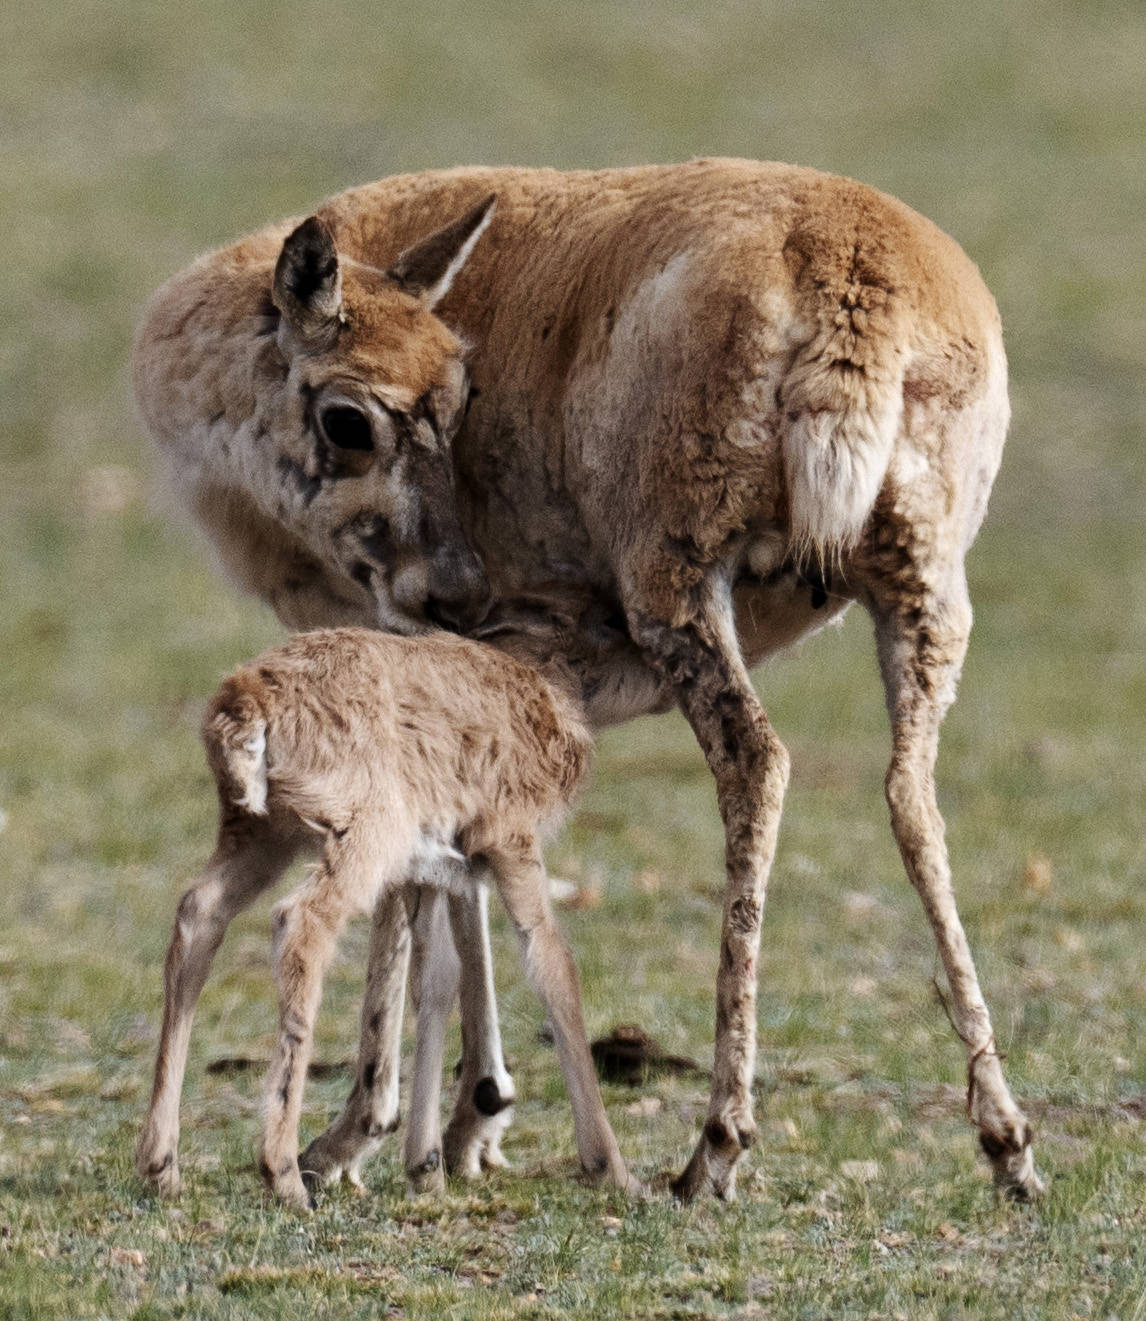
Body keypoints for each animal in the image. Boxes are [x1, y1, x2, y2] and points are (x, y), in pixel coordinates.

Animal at [136, 159, 1045, 1204]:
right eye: (356, 418)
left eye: (450, 400)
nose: (460, 590)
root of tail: (849, 258)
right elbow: (461, 887)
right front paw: (466, 1122)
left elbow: (422, 909)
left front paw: (377, 1132)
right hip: (922, 598)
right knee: (911, 796)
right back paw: (1006, 1140)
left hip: (678, 591)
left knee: (757, 762)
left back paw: (713, 1145)